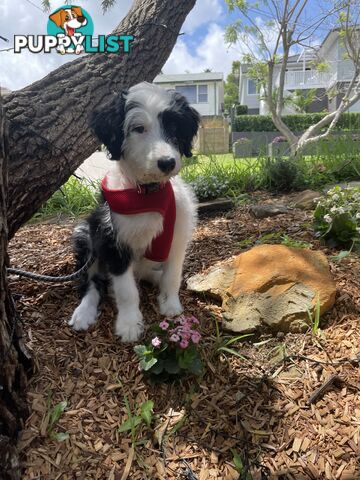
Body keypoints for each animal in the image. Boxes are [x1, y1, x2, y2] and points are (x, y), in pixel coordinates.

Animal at [69, 83, 201, 344]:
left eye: (173, 127)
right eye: (138, 129)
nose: (167, 162)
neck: (148, 194)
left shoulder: (178, 237)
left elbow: (172, 275)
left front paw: (171, 305)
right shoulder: (113, 240)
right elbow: (126, 290)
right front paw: (129, 324)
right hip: (86, 234)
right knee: (91, 282)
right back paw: (83, 313)